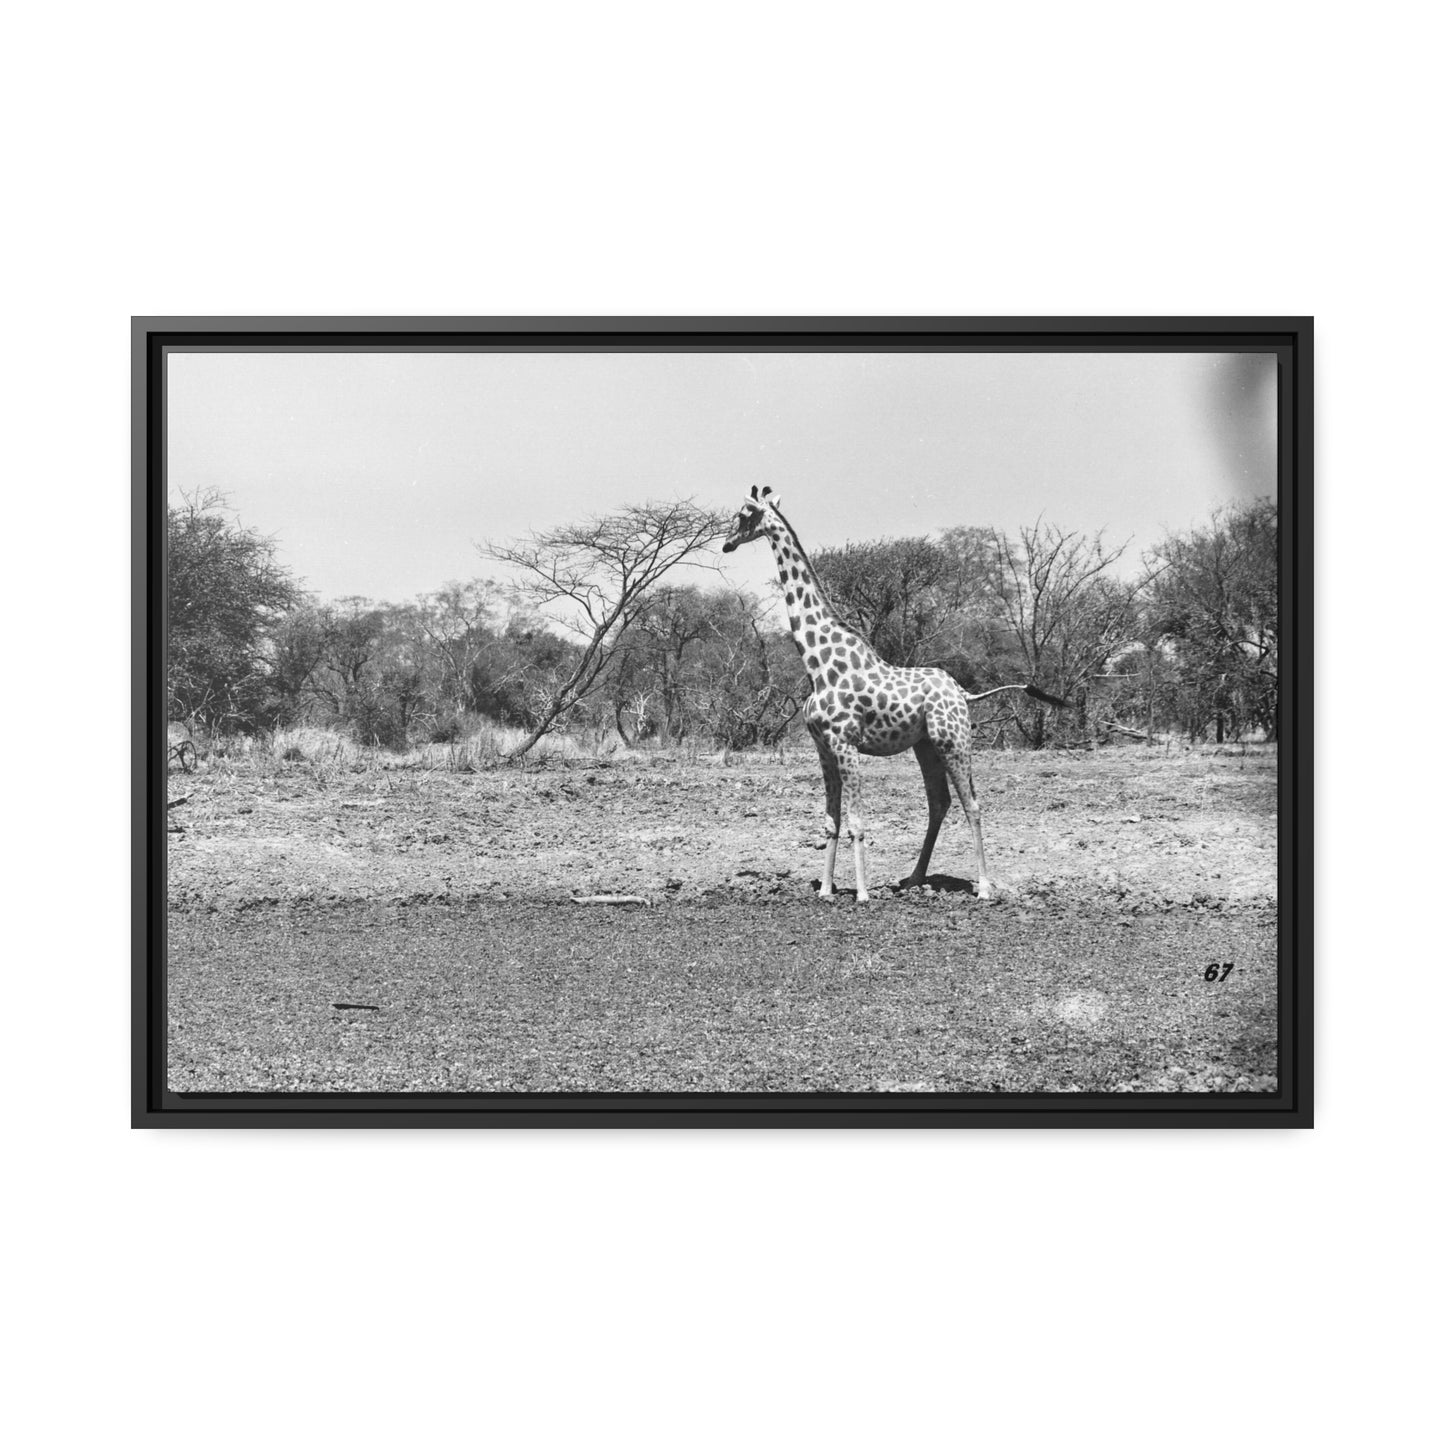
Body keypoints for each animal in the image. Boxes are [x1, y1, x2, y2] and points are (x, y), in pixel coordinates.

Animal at [722, 485, 1065, 902]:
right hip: (926, 745)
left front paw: (862, 893)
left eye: (743, 515)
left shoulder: (846, 744)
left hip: (954, 740)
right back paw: (914, 879)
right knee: (939, 802)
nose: (726, 544)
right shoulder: (823, 748)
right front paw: (825, 890)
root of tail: (963, 693)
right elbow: (831, 821)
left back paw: (983, 887)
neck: (817, 664)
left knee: (972, 803)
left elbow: (857, 821)